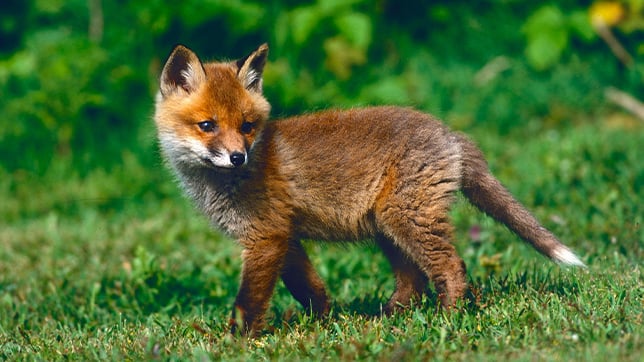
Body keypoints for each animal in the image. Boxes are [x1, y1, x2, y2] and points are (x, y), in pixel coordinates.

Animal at [153, 43, 588, 336]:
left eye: (246, 126)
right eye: (207, 125)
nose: (238, 157)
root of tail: (450, 132)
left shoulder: (265, 237)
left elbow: (249, 301)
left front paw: (237, 342)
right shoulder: (284, 236)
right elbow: (309, 288)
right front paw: (322, 322)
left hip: (406, 220)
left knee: (451, 268)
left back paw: (448, 320)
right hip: (388, 227)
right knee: (413, 283)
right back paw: (386, 320)